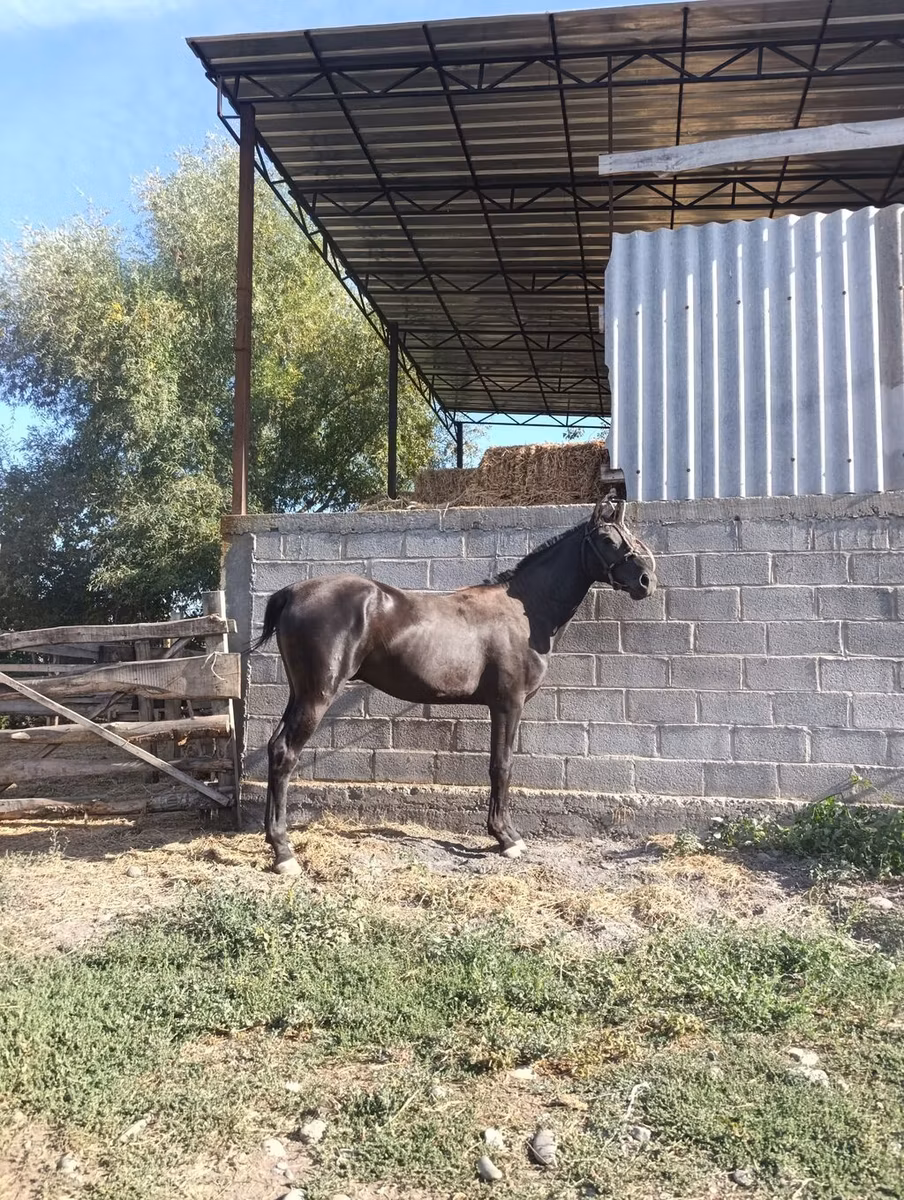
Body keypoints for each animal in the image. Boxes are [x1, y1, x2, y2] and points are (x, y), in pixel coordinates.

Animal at [253, 499, 656, 875]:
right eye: (607, 540)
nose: (646, 580)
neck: (525, 611)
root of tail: (292, 591)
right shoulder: (508, 703)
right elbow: (501, 765)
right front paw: (506, 838)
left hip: (300, 693)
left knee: (274, 748)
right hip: (317, 695)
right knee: (286, 753)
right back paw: (284, 854)